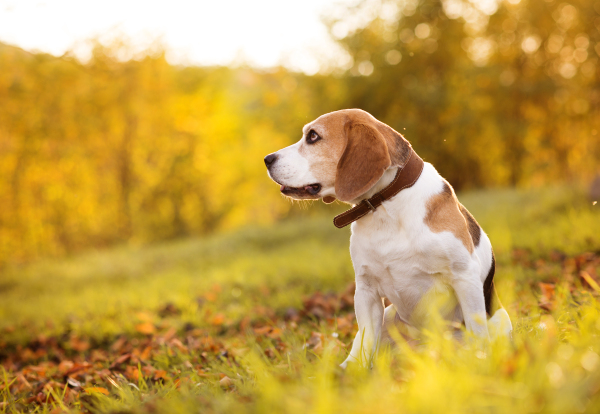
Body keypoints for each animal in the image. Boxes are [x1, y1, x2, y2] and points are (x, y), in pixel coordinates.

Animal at [264, 108, 510, 368]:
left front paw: (480, 361)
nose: (267, 159)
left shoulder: (464, 276)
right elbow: (364, 338)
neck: (384, 205)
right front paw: (353, 369)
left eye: (313, 136)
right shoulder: (366, 289)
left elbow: (476, 329)